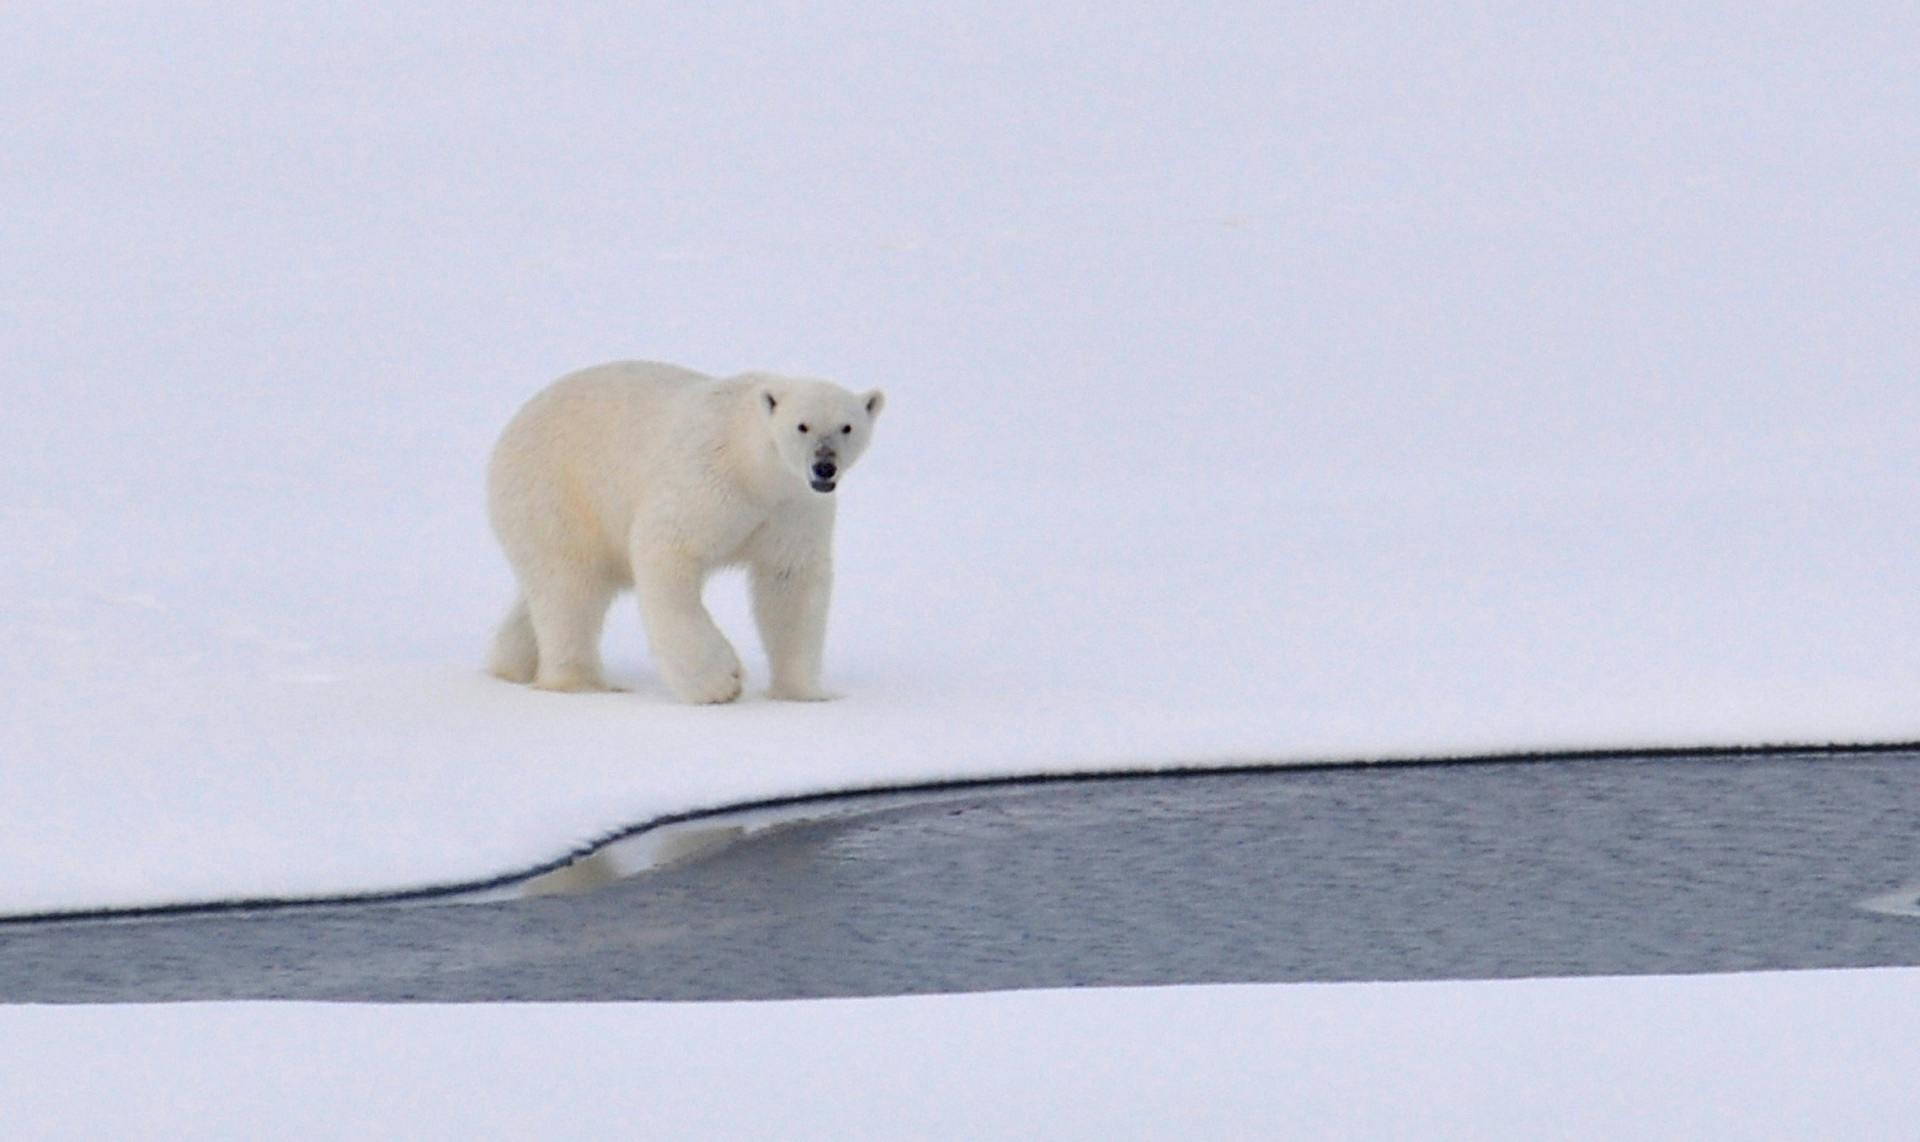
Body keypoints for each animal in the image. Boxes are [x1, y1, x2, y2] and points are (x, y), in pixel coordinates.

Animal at [491, 364, 887, 706]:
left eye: (847, 426)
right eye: (802, 426)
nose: (824, 466)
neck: (754, 467)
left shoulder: (793, 507)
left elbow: (790, 581)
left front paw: (803, 693)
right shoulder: (708, 478)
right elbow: (667, 548)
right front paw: (719, 682)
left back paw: (511, 665)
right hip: (556, 493)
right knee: (569, 586)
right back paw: (582, 683)